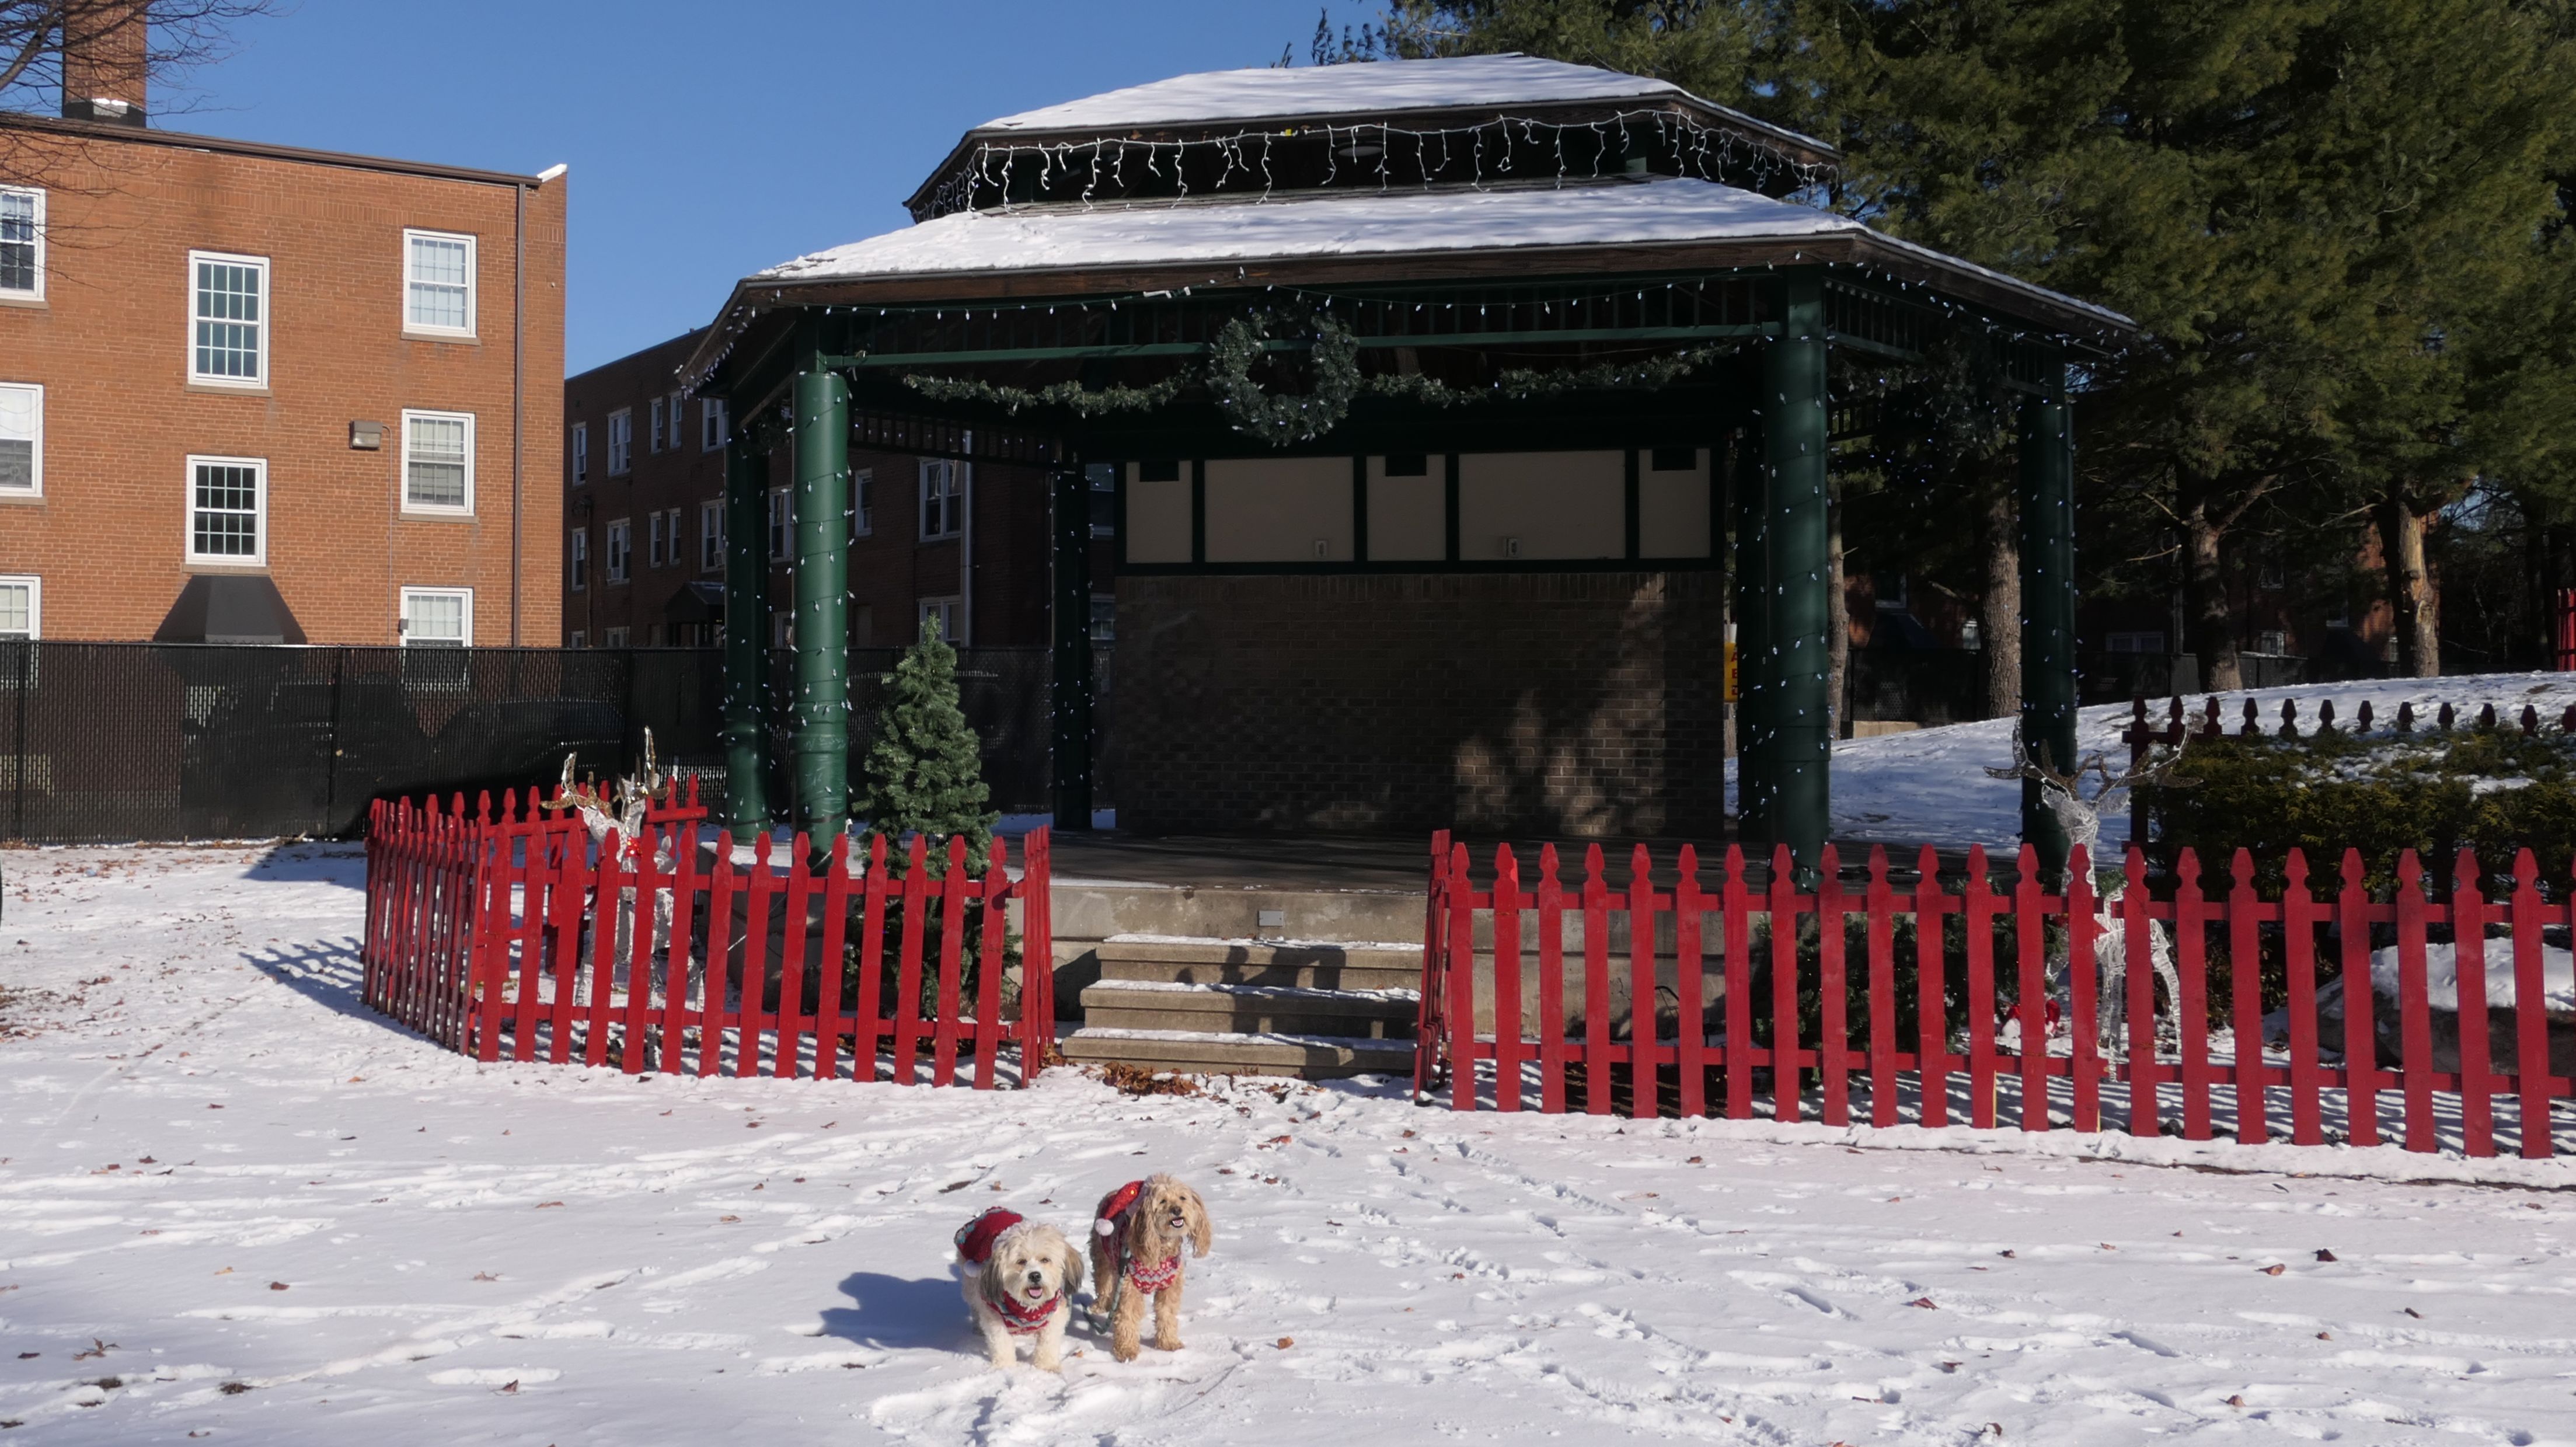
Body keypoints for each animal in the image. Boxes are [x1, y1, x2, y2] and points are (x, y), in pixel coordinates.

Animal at [954, 1207, 1083, 1371]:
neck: (1028, 1308)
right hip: (971, 1283)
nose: (1035, 1276)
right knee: (975, 1307)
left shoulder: (1054, 1315)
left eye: (1045, 1260)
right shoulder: (995, 1317)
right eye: (1021, 1262)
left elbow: (1048, 1344)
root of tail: (993, 1210)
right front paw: (1006, 1368)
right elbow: (1002, 1344)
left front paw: (1047, 1366)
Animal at [1088, 1174, 1212, 1362]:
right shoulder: (1129, 1285)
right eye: (1162, 1201)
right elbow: (1128, 1317)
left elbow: (1166, 1313)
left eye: (1182, 1198)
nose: (1177, 1210)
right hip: (1102, 1256)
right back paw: (1100, 1306)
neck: (1161, 1247)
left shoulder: (1170, 1286)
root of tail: (1113, 1193)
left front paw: (1169, 1343)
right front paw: (1126, 1350)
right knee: (1104, 1284)